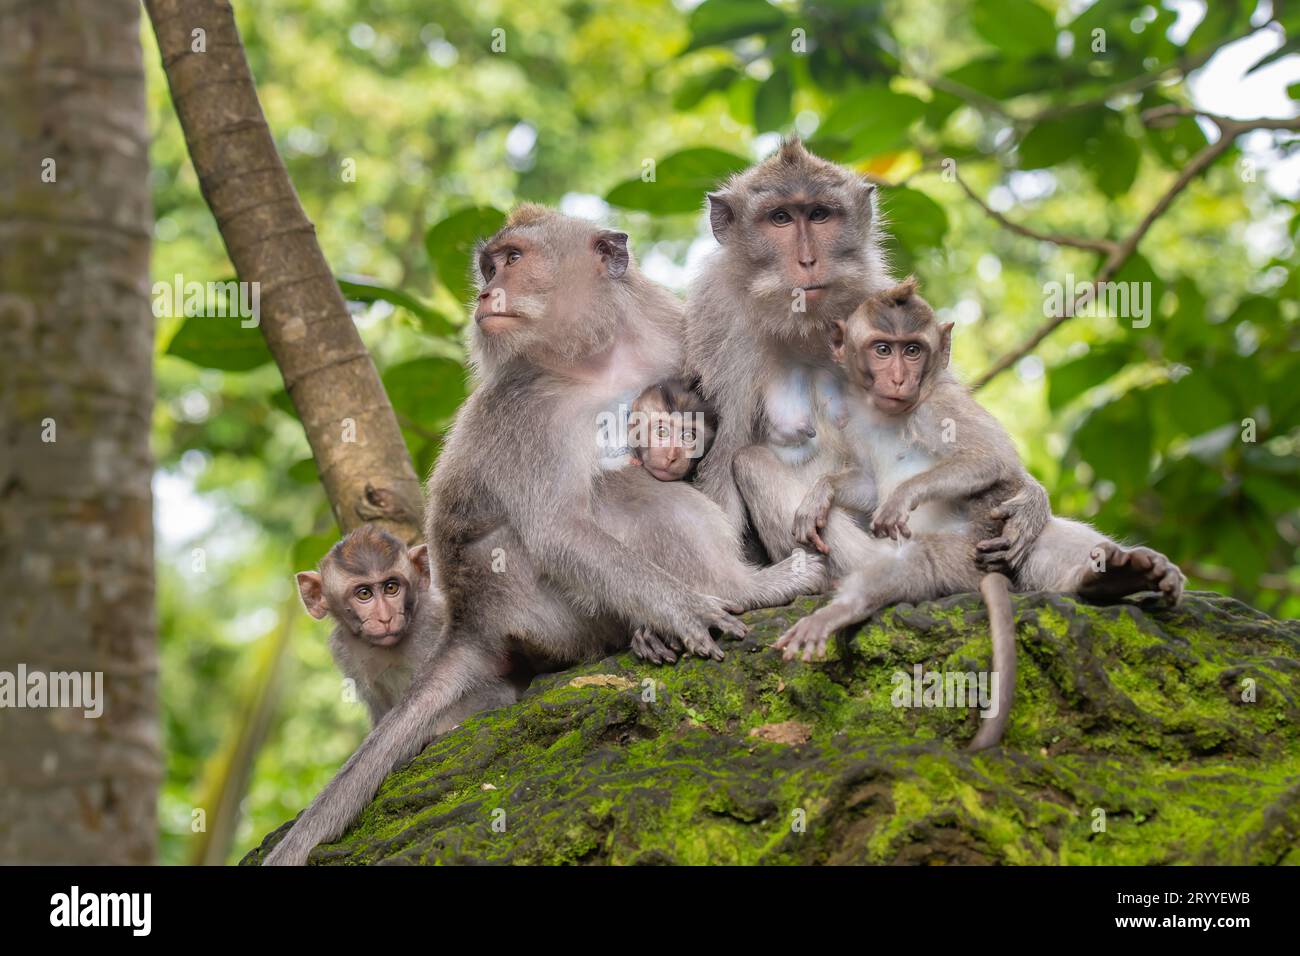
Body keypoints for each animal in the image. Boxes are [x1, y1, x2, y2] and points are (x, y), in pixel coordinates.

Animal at [686, 135, 1050, 582]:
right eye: (781, 218)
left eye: (819, 215)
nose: (808, 260)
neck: (801, 324)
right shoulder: (719, 327)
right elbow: (723, 453)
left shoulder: (875, 295)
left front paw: (1030, 497)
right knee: (749, 461)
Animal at [774, 277, 1185, 749]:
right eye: (882, 348)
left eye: (912, 350)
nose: (898, 377)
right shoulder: (852, 418)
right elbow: (866, 483)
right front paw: (820, 494)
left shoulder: (941, 404)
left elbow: (991, 460)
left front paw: (904, 496)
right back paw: (1109, 577)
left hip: (972, 554)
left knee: (924, 560)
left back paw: (843, 609)